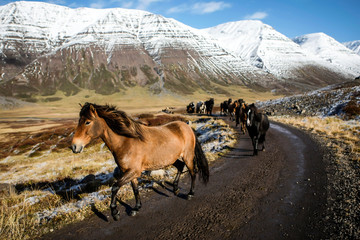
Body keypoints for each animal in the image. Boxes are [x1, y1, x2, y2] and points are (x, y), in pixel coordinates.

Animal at [70, 102, 210, 220]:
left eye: (87, 122)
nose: (74, 146)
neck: (125, 142)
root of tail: (187, 127)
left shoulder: (133, 171)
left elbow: (115, 187)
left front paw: (115, 213)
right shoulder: (130, 172)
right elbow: (135, 189)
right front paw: (136, 208)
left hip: (187, 156)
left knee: (192, 172)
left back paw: (190, 193)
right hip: (171, 158)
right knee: (180, 166)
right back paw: (175, 189)